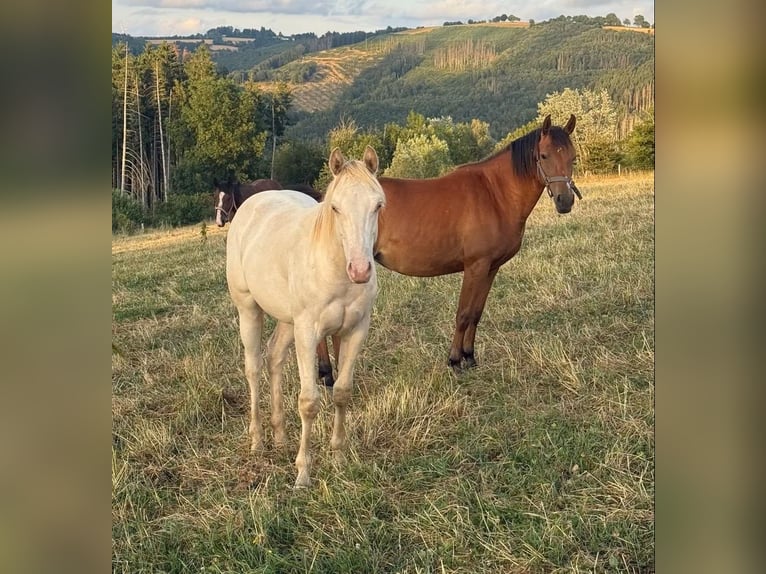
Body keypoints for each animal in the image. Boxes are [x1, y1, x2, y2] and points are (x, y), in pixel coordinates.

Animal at [226, 146, 385, 488]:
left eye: (378, 205)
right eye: (335, 208)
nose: (360, 270)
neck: (333, 266)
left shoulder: (355, 331)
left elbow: (341, 393)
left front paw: (338, 458)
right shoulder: (309, 332)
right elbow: (309, 402)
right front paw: (303, 473)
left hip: (288, 322)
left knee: (274, 358)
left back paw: (280, 436)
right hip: (249, 310)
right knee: (253, 367)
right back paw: (258, 440)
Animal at [373, 114, 582, 372]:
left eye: (573, 157)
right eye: (544, 155)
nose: (565, 201)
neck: (494, 194)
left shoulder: (491, 268)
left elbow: (476, 313)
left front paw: (469, 356)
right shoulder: (475, 266)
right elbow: (463, 314)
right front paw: (454, 360)